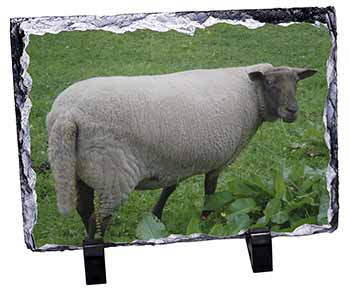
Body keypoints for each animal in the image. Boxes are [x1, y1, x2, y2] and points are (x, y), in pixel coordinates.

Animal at [46, 64, 318, 237]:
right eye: (270, 83)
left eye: (296, 83)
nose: (292, 111)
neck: (251, 96)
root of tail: (66, 115)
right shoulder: (217, 161)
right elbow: (210, 191)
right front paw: (207, 217)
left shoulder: (174, 160)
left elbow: (170, 188)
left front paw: (156, 216)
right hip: (113, 172)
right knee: (99, 216)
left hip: (80, 166)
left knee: (85, 210)